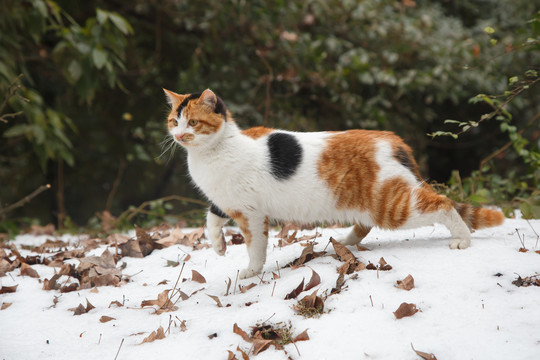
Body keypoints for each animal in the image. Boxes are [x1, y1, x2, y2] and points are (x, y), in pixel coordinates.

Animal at [162, 88, 504, 280]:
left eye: (193, 122)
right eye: (173, 121)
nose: (178, 135)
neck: (214, 151)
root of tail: (394, 140)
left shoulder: (251, 214)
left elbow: (255, 246)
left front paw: (252, 271)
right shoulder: (226, 202)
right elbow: (211, 217)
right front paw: (218, 245)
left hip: (393, 206)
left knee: (443, 204)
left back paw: (462, 238)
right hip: (369, 204)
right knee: (366, 224)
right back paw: (346, 241)